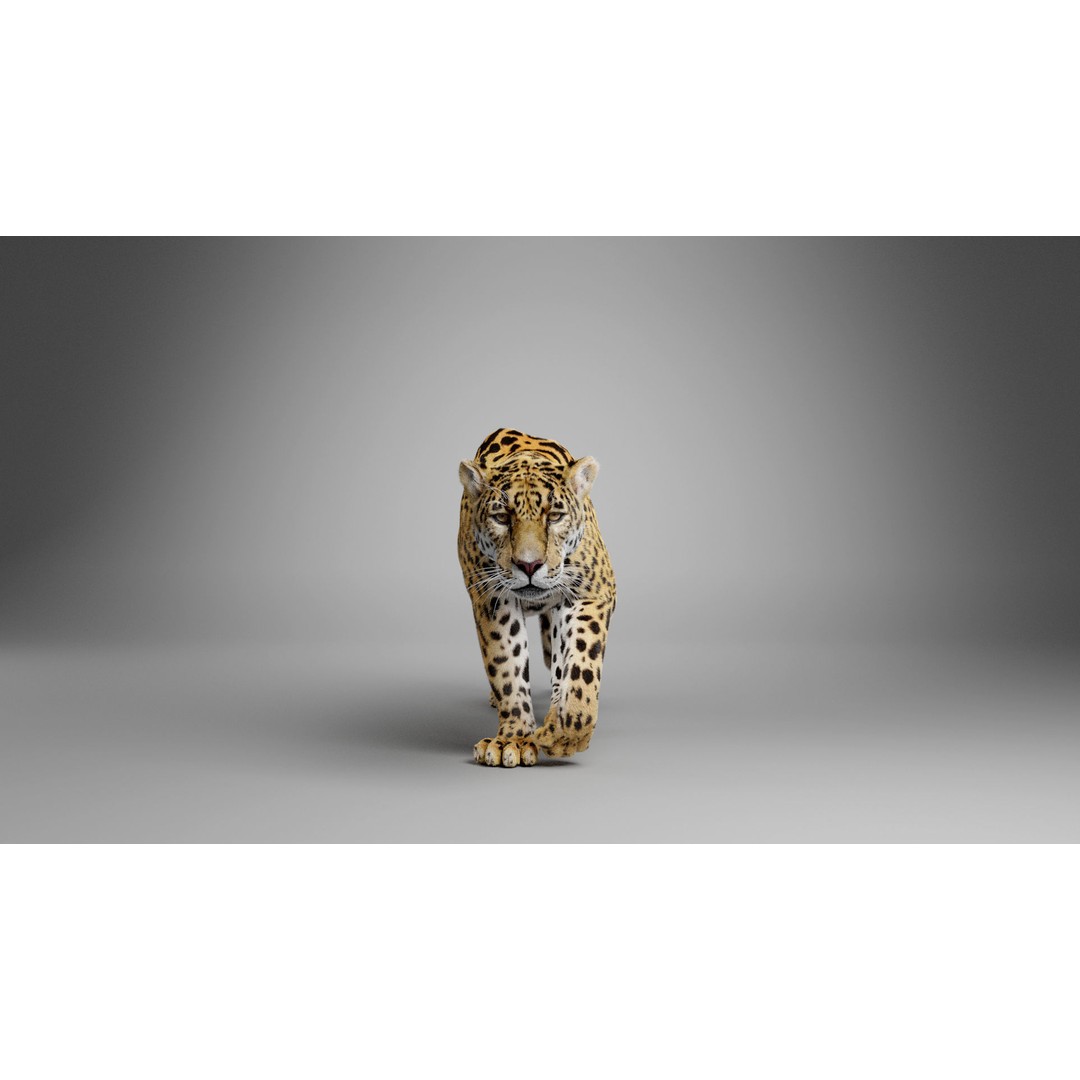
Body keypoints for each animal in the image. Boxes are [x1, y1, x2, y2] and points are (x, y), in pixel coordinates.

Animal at [458, 428, 616, 767]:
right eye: (502, 517)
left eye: (555, 516)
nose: (529, 565)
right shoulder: (492, 598)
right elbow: (507, 663)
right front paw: (514, 739)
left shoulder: (592, 591)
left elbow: (581, 663)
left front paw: (567, 730)